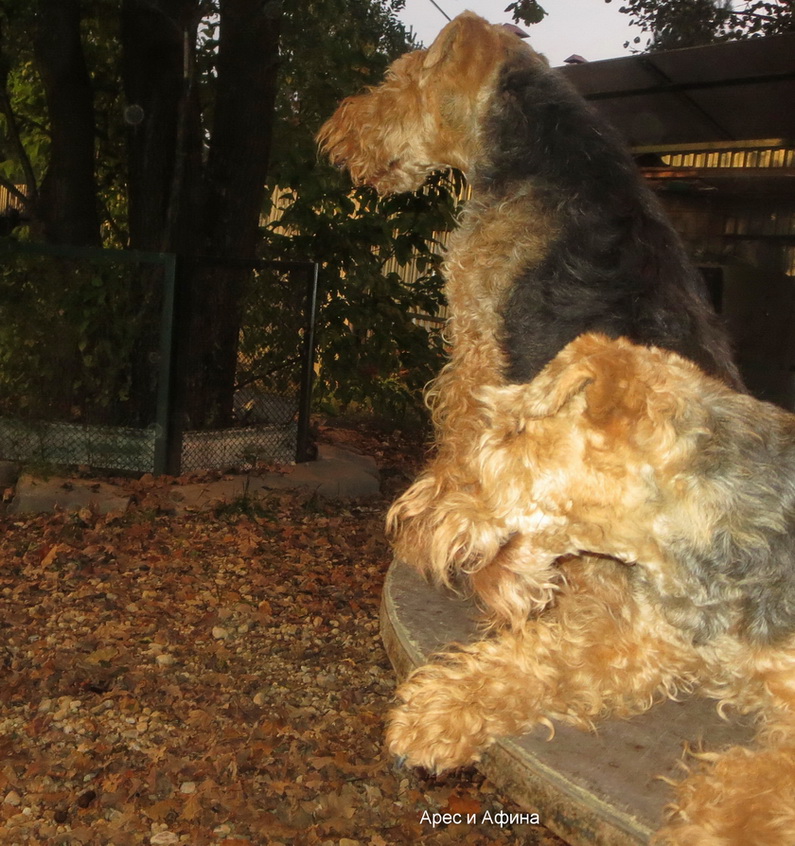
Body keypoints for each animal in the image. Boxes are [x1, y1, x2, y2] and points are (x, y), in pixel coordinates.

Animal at [386, 333, 795, 844]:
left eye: (513, 432)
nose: (408, 523)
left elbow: (740, 803)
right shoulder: (645, 641)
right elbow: (530, 664)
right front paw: (432, 714)